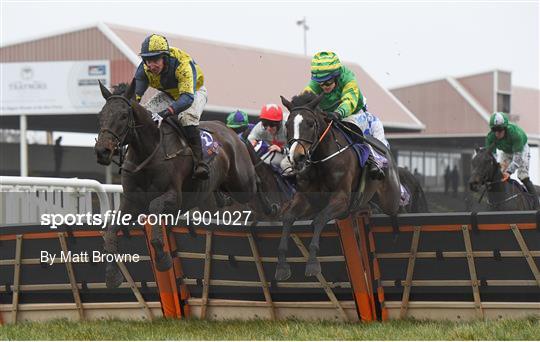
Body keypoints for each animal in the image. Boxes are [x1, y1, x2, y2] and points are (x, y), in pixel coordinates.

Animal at [95, 81, 258, 288]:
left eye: (124, 115)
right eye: (101, 114)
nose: (102, 151)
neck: (147, 153)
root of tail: (228, 130)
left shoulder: (175, 198)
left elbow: (155, 207)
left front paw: (163, 259)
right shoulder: (131, 201)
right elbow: (110, 232)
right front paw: (112, 275)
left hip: (243, 184)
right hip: (208, 202)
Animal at [276, 93, 402, 280]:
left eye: (310, 123)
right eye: (287, 125)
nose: (297, 157)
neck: (320, 161)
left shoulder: (341, 199)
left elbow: (319, 219)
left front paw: (312, 263)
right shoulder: (306, 200)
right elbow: (288, 218)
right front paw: (282, 266)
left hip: (390, 199)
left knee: (396, 208)